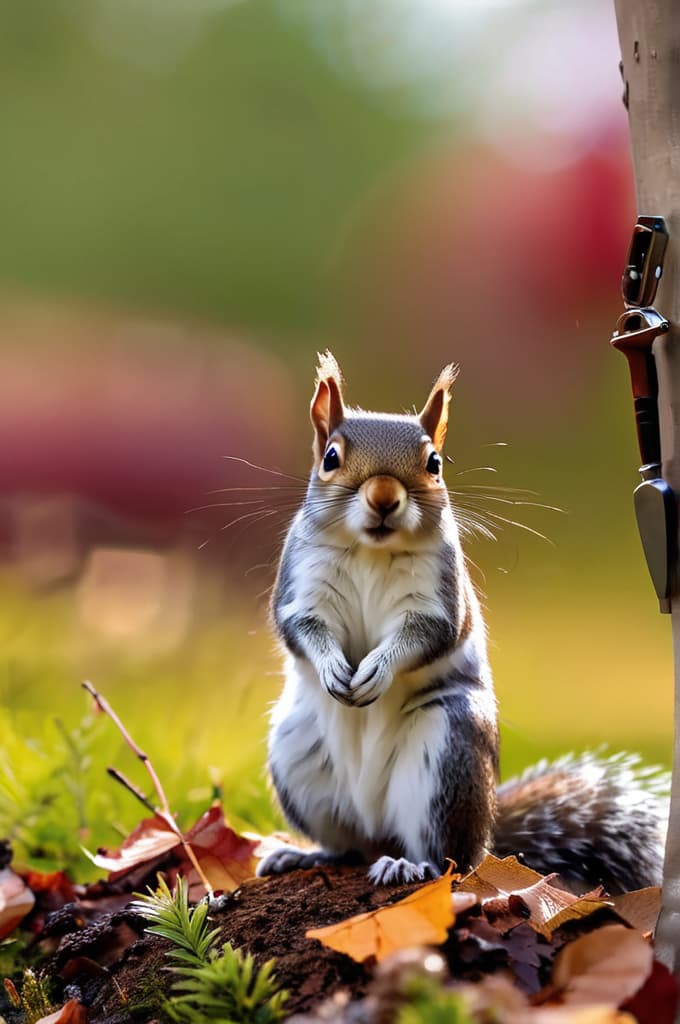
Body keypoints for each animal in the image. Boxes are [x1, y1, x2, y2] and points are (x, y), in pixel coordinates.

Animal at [256, 354, 667, 897]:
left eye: (434, 463)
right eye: (330, 457)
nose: (383, 497)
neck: (372, 550)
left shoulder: (439, 598)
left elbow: (428, 634)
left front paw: (377, 670)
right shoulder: (301, 586)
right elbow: (303, 627)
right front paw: (332, 668)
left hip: (446, 753)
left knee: (448, 856)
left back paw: (409, 867)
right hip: (298, 754)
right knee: (349, 847)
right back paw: (303, 855)